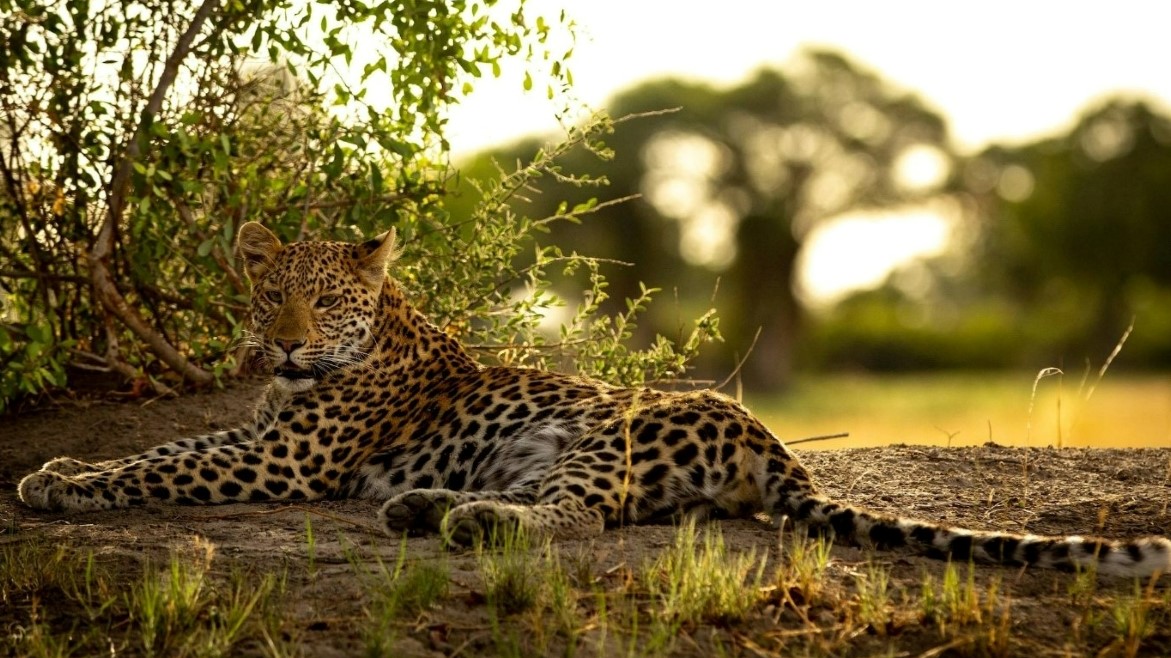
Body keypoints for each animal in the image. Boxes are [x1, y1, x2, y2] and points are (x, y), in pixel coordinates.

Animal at [16, 220, 1171, 573]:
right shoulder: (260, 432)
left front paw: (60, 482)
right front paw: (65, 465)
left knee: (580, 515)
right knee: (576, 508)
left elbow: (161, 462)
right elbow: (162, 450)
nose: (290, 340)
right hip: (557, 446)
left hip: (605, 427)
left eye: (328, 298)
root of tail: (771, 442)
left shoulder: (281, 458)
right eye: (270, 292)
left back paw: (466, 520)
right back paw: (424, 507)